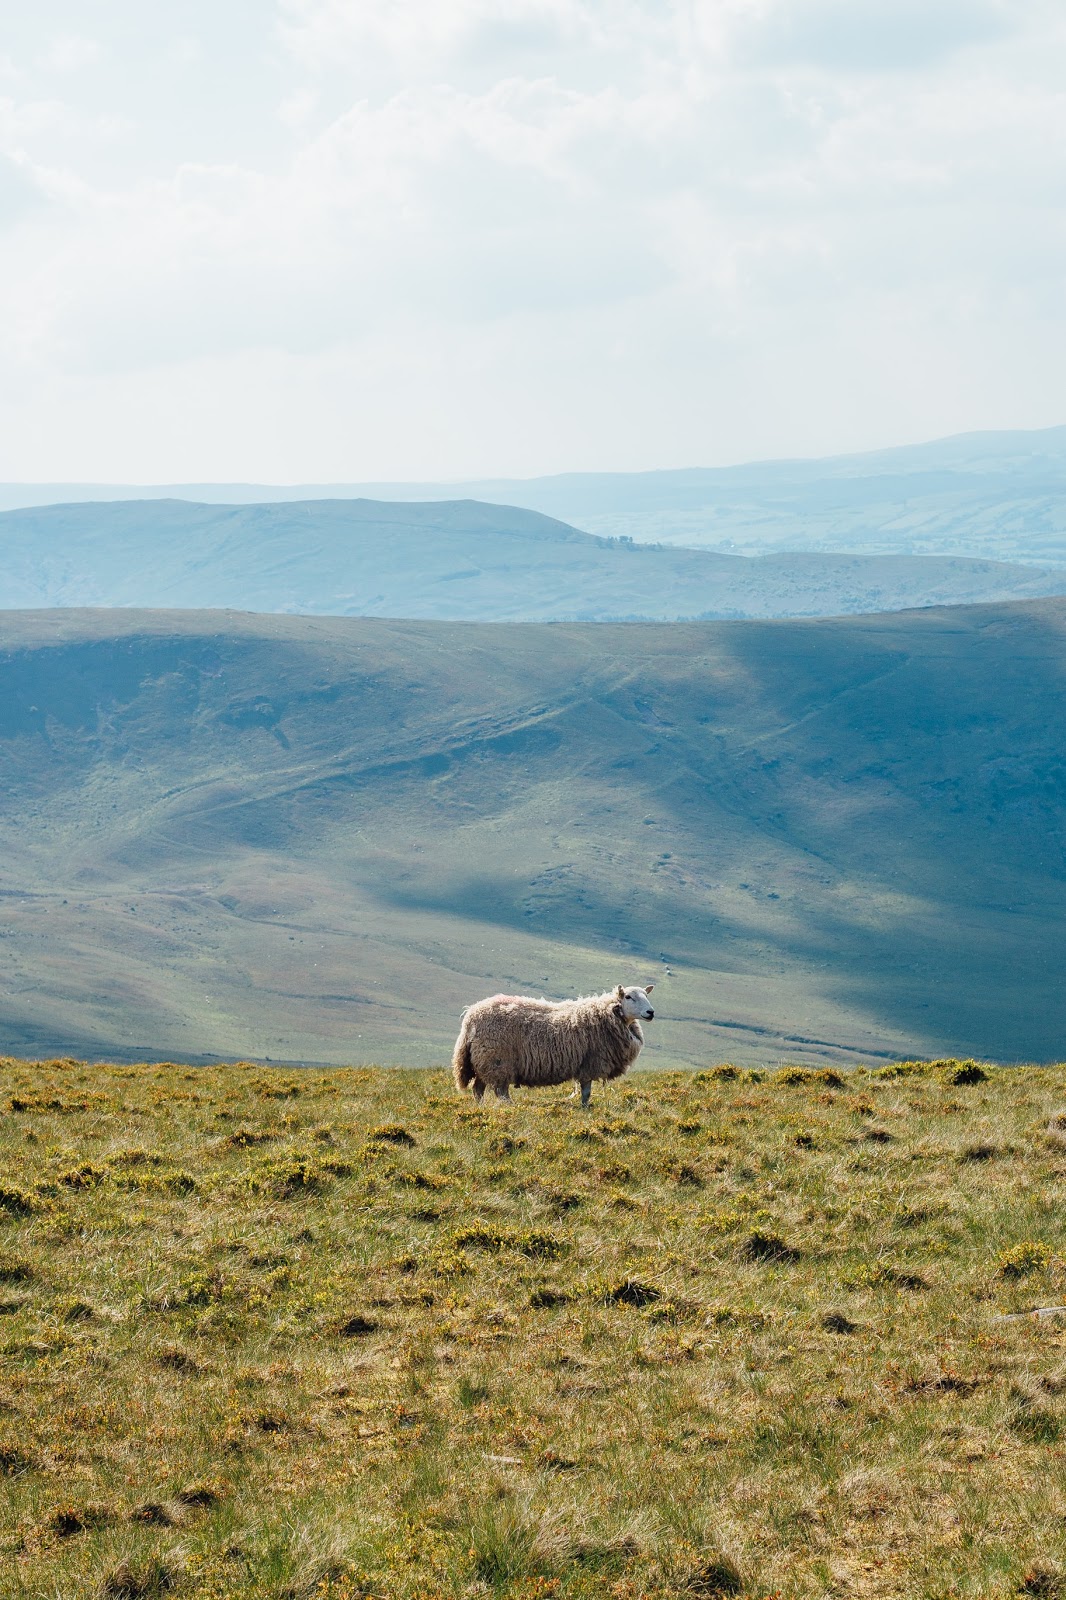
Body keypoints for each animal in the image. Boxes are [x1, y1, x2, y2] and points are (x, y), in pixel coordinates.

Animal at [451, 979, 653, 1107]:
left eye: (646, 995)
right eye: (628, 996)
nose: (650, 1012)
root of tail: (471, 1016)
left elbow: (586, 1091)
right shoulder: (590, 1063)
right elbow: (586, 1091)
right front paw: (584, 1108)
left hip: (483, 1061)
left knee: (478, 1089)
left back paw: (482, 1107)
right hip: (497, 1060)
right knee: (500, 1090)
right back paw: (510, 1106)